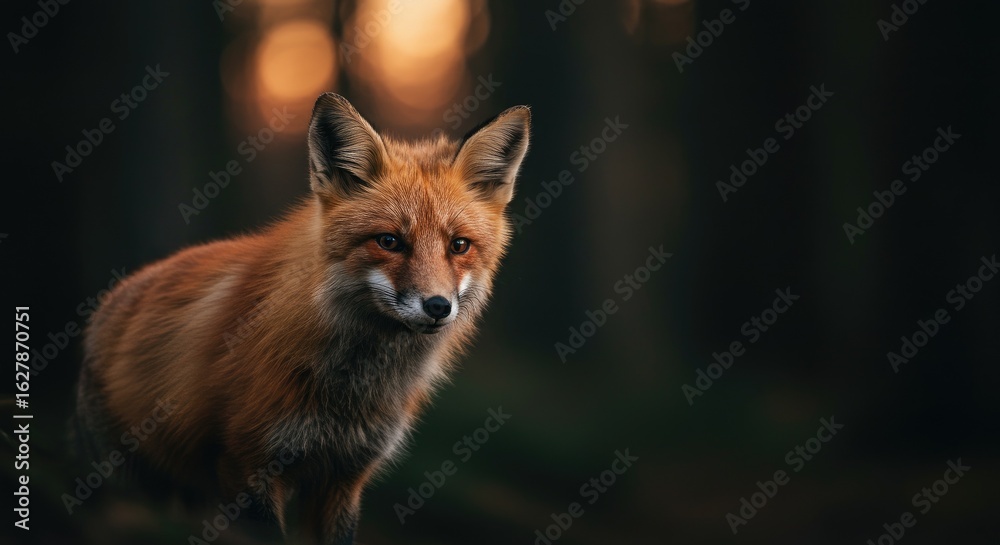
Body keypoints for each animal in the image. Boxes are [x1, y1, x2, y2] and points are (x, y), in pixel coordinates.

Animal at [72, 92, 530, 544]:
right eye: (388, 241)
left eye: (459, 245)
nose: (437, 306)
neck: (348, 393)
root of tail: (114, 296)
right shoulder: (249, 464)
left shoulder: (345, 476)